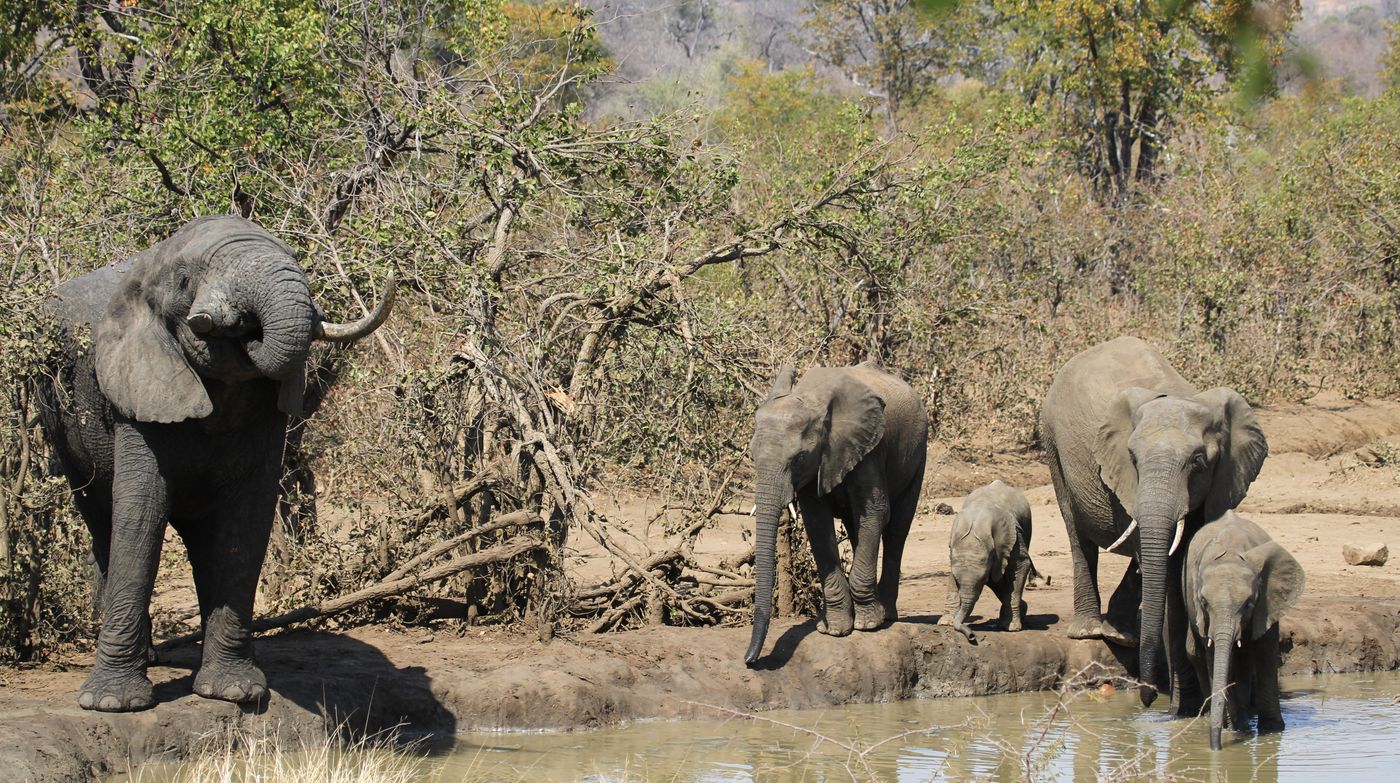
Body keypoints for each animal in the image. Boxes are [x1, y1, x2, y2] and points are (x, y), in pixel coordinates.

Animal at [34, 215, 394, 712]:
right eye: (186, 281)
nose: (235, 322)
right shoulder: (136, 392)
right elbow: (141, 513)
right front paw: (112, 704)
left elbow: (245, 521)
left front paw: (235, 692)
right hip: (58, 420)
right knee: (101, 518)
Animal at [744, 361, 927, 666]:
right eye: (752, 456)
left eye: (799, 458)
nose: (750, 661)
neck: (812, 400)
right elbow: (817, 523)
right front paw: (833, 629)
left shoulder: (869, 450)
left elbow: (876, 512)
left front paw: (867, 625)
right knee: (856, 528)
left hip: (918, 452)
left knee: (896, 529)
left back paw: (886, 615)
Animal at [937, 479, 1033, 643]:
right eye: (958, 581)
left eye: (981, 579)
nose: (971, 636)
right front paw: (945, 622)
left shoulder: (1013, 533)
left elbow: (1020, 565)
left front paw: (1012, 627)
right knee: (995, 579)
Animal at [1040, 336, 1268, 710]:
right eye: (1133, 459)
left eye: (1199, 462)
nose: (1145, 698)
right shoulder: (1122, 478)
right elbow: (1164, 573)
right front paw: (1181, 703)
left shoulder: (1218, 482)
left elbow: (1181, 561)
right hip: (1052, 442)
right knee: (1077, 534)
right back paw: (1091, 631)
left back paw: (1122, 635)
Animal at [1184, 511, 1303, 750]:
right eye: (1203, 602)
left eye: (1248, 604)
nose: (1216, 748)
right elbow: (1215, 657)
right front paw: (1234, 728)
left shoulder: (1267, 603)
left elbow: (1266, 654)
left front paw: (1272, 730)